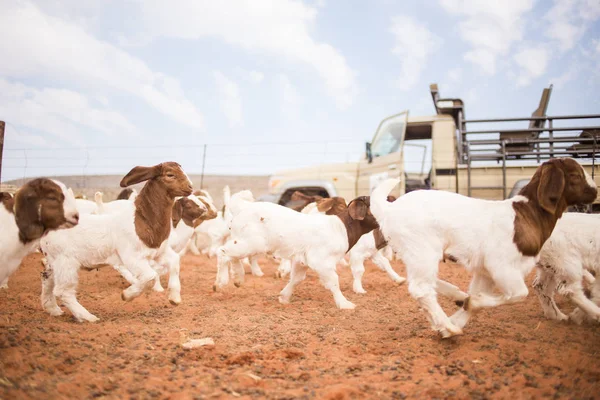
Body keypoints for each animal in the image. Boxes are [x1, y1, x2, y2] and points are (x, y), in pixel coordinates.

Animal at [39, 162, 193, 322]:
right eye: (170, 174)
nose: (190, 187)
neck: (142, 221)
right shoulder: (132, 257)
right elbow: (149, 276)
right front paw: (127, 295)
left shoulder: (159, 252)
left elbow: (174, 262)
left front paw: (174, 298)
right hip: (65, 262)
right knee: (63, 291)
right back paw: (87, 317)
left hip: (53, 261)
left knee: (46, 279)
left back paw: (53, 309)